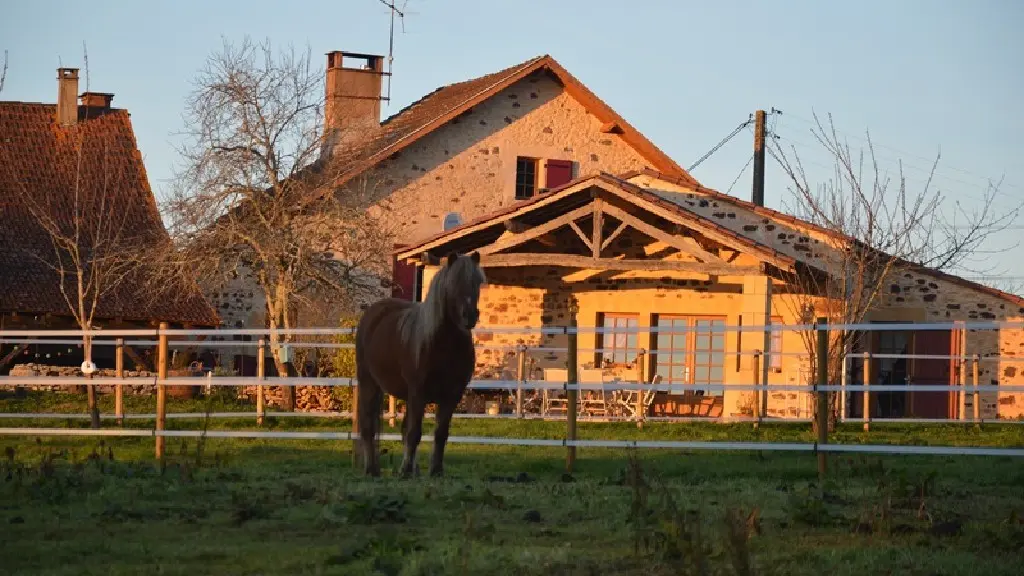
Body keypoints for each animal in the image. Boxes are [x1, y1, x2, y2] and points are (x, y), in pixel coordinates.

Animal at [356, 248, 487, 475]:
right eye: (453, 283)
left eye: (477, 283)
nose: (469, 316)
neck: (443, 345)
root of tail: (372, 313)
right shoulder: (418, 392)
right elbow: (414, 433)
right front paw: (406, 470)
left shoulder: (451, 395)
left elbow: (440, 434)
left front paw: (435, 470)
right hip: (368, 383)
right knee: (368, 427)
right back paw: (372, 469)